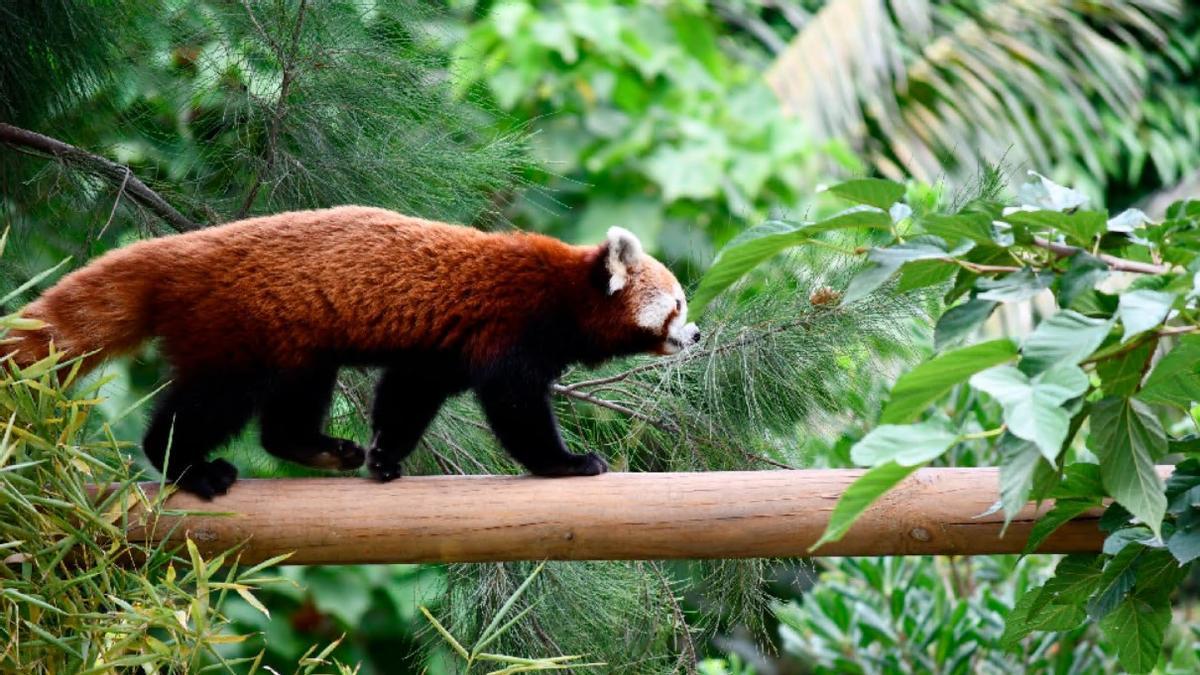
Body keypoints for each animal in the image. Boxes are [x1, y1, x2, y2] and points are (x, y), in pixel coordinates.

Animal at [9, 207, 700, 497]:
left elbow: (407, 394)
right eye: (678, 303)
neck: (566, 290)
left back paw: (320, 449)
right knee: (210, 403)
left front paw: (385, 456)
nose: (696, 336)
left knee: (288, 409)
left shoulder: (439, 348)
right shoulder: (511, 329)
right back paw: (187, 467)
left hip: (299, 342)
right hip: (240, 331)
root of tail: (181, 250)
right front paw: (566, 463)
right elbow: (515, 406)